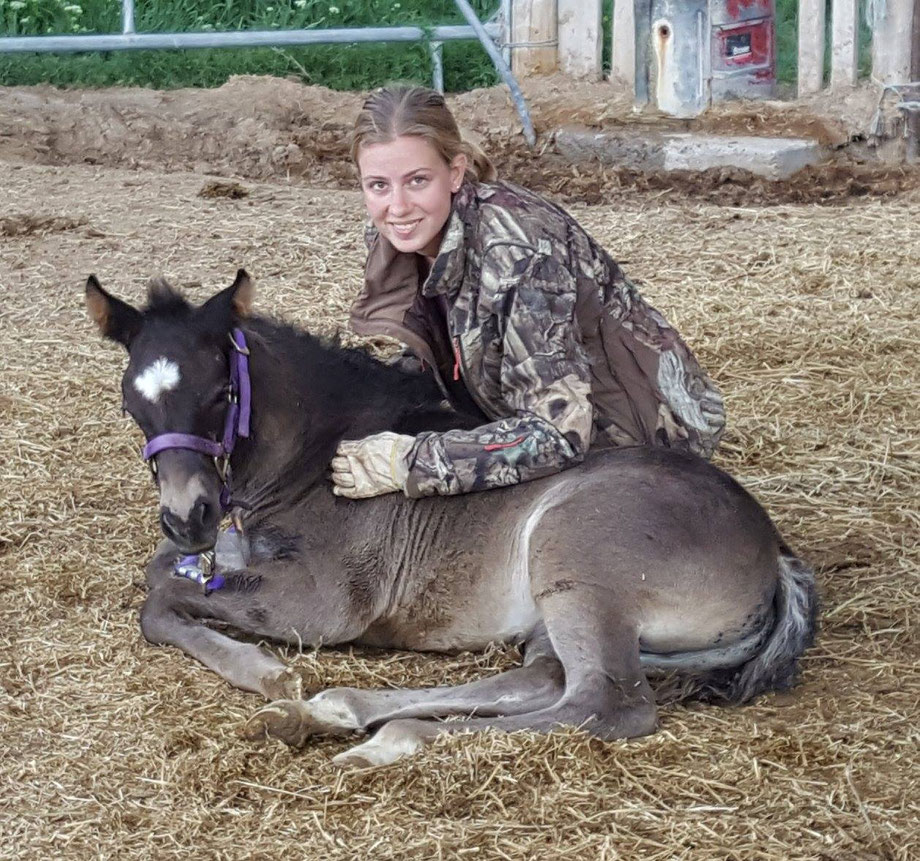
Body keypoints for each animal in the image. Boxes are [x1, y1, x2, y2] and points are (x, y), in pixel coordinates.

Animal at [85, 270, 817, 768]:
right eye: (129, 404)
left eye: (220, 393)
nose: (188, 516)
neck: (314, 455)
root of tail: (776, 550)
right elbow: (164, 574)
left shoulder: (324, 603)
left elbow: (158, 595)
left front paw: (265, 670)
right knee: (543, 677)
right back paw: (327, 712)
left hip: (575, 560)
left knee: (605, 703)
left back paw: (381, 738)